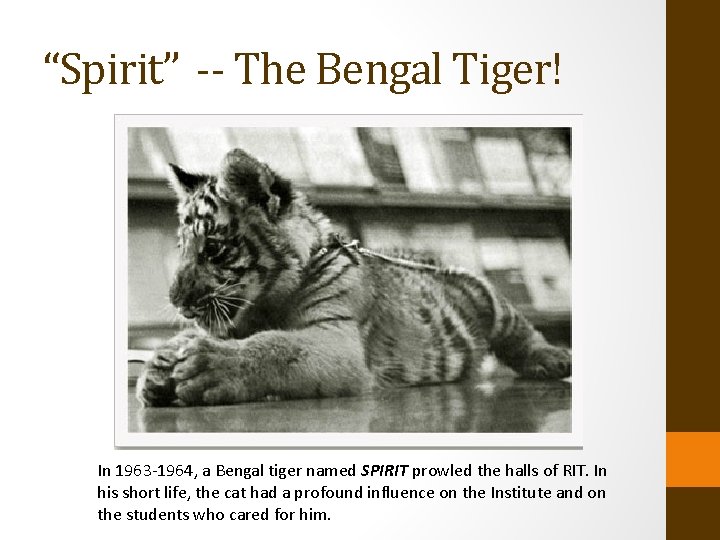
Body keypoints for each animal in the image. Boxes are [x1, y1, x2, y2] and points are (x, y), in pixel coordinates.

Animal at [136, 148, 571, 407]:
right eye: (181, 248)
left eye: (212, 248)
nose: (176, 302)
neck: (263, 307)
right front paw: (157, 366)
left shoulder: (336, 339)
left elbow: (277, 347)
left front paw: (209, 365)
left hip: (485, 296)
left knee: (520, 330)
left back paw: (551, 359)